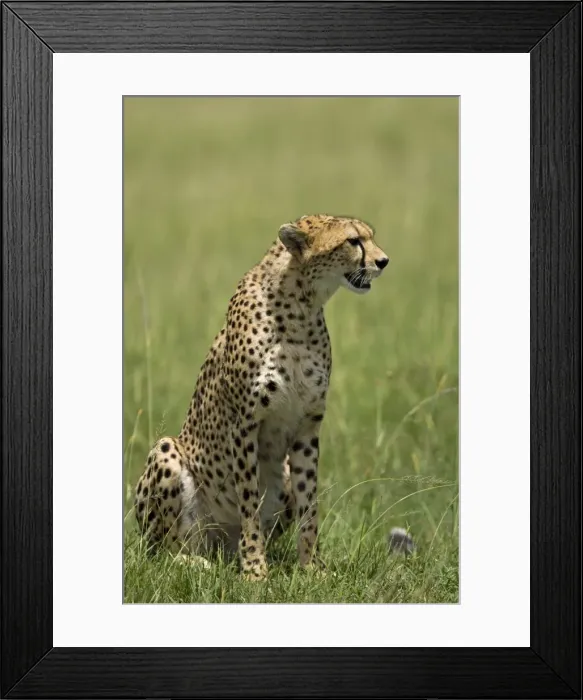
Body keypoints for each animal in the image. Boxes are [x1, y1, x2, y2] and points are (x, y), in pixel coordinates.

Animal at [134, 214, 389, 579]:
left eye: (369, 237)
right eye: (353, 241)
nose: (384, 261)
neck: (300, 305)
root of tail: (217, 547)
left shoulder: (308, 425)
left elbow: (310, 504)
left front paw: (311, 568)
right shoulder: (245, 424)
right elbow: (249, 501)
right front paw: (256, 570)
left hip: (280, 474)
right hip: (166, 452)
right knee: (162, 551)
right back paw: (193, 561)